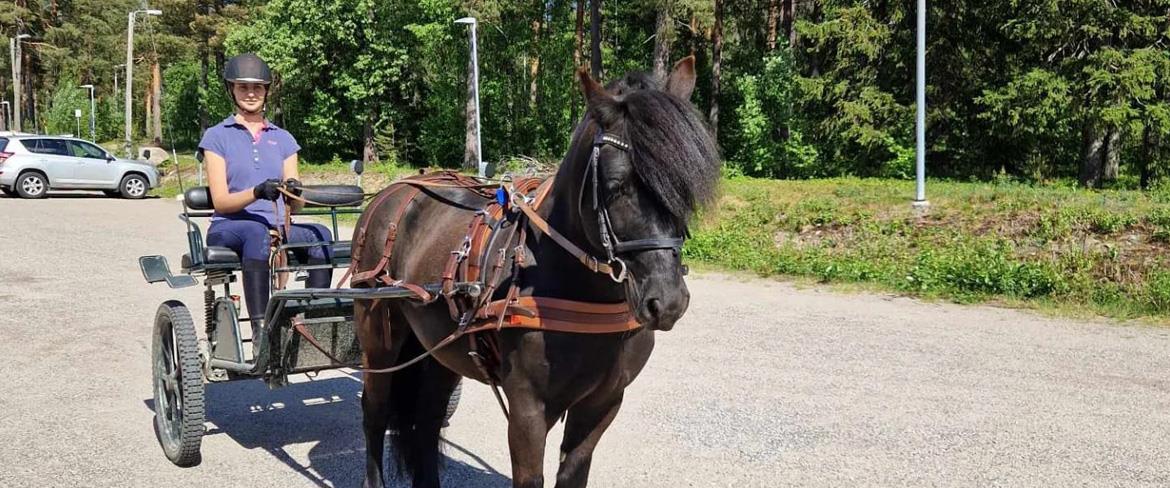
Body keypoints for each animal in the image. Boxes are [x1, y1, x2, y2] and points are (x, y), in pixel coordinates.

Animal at [353, 57, 720, 486]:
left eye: (685, 187)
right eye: (615, 186)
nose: (667, 301)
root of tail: (389, 195)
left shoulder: (603, 403)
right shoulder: (528, 409)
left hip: (439, 347)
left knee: (426, 422)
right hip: (380, 337)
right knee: (375, 414)